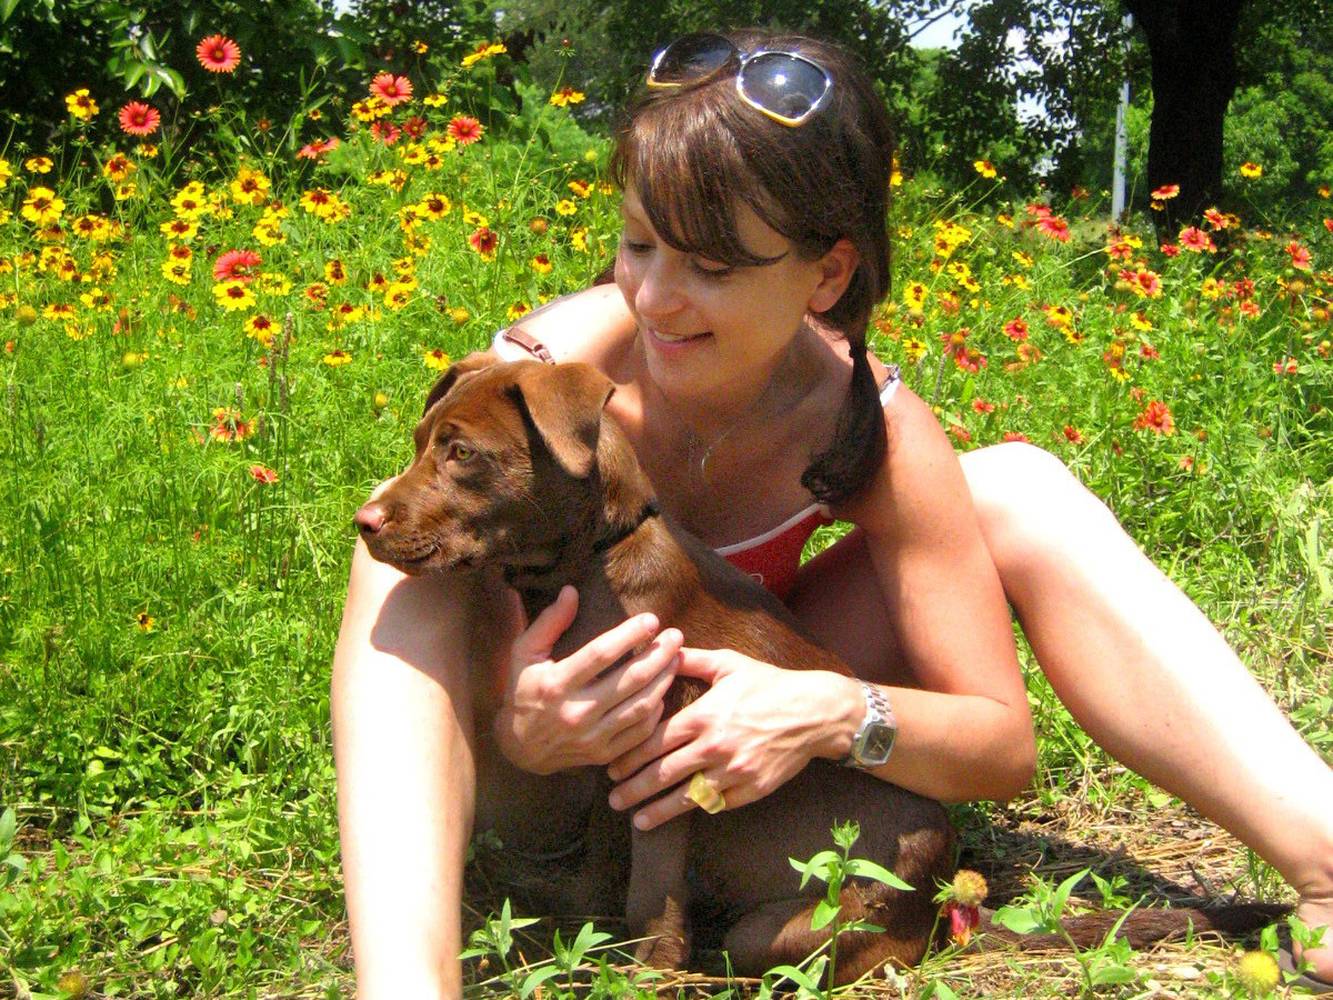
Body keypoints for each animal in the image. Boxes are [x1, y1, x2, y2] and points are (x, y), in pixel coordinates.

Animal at [355, 352, 954, 980]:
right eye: (420, 442)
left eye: (462, 452)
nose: (363, 522)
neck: (598, 559)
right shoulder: (611, 751)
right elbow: (607, 848)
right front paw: (580, 912)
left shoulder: (667, 759)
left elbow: (650, 883)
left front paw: (650, 971)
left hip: (790, 928)